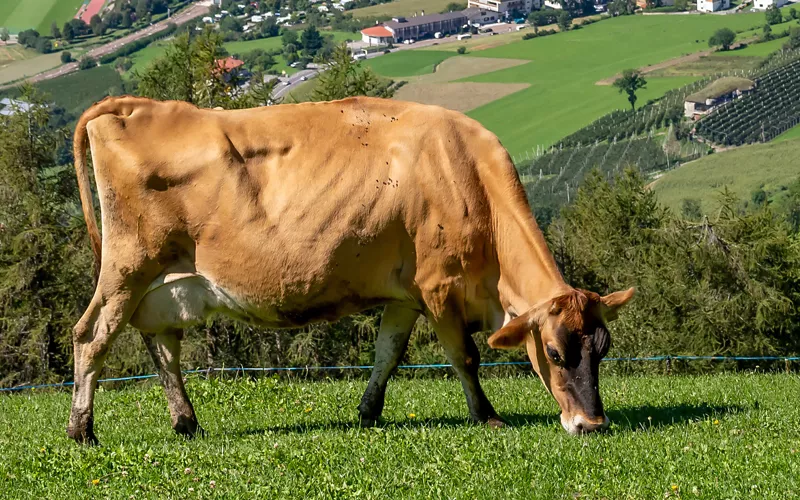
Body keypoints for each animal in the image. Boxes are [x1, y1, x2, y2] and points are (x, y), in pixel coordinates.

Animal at [69, 95, 636, 444]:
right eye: (556, 353)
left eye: (603, 349)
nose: (591, 423)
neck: (467, 175)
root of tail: (137, 105)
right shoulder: (437, 288)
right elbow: (466, 357)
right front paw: (487, 416)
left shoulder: (406, 297)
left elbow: (388, 355)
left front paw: (368, 413)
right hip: (127, 267)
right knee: (90, 336)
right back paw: (83, 431)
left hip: (165, 283)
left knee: (162, 346)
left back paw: (187, 424)